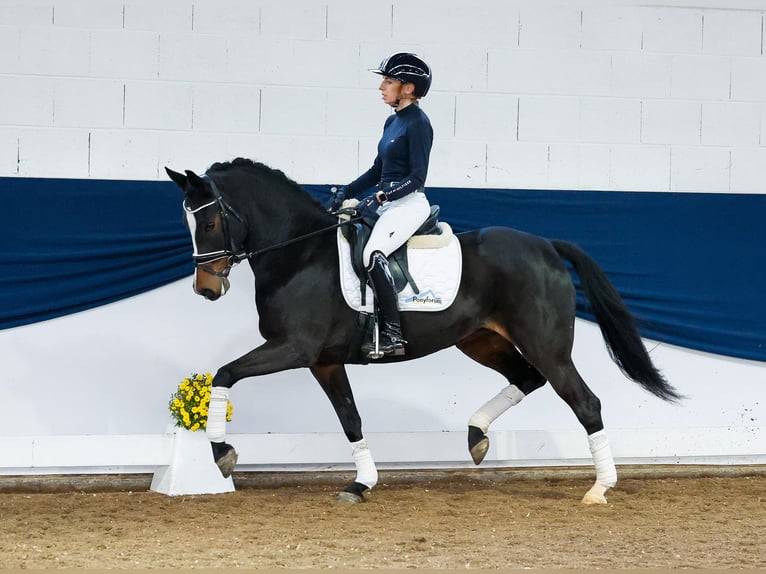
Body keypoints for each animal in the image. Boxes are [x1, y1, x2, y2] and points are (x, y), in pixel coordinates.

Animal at [165, 158, 680, 504]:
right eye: (188, 221)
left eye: (209, 220)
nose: (205, 288)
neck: (300, 254)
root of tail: (547, 246)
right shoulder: (324, 361)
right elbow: (350, 419)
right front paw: (361, 483)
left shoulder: (293, 348)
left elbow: (224, 374)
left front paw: (222, 453)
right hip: (481, 340)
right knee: (525, 378)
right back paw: (476, 437)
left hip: (547, 346)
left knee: (584, 401)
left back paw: (600, 488)